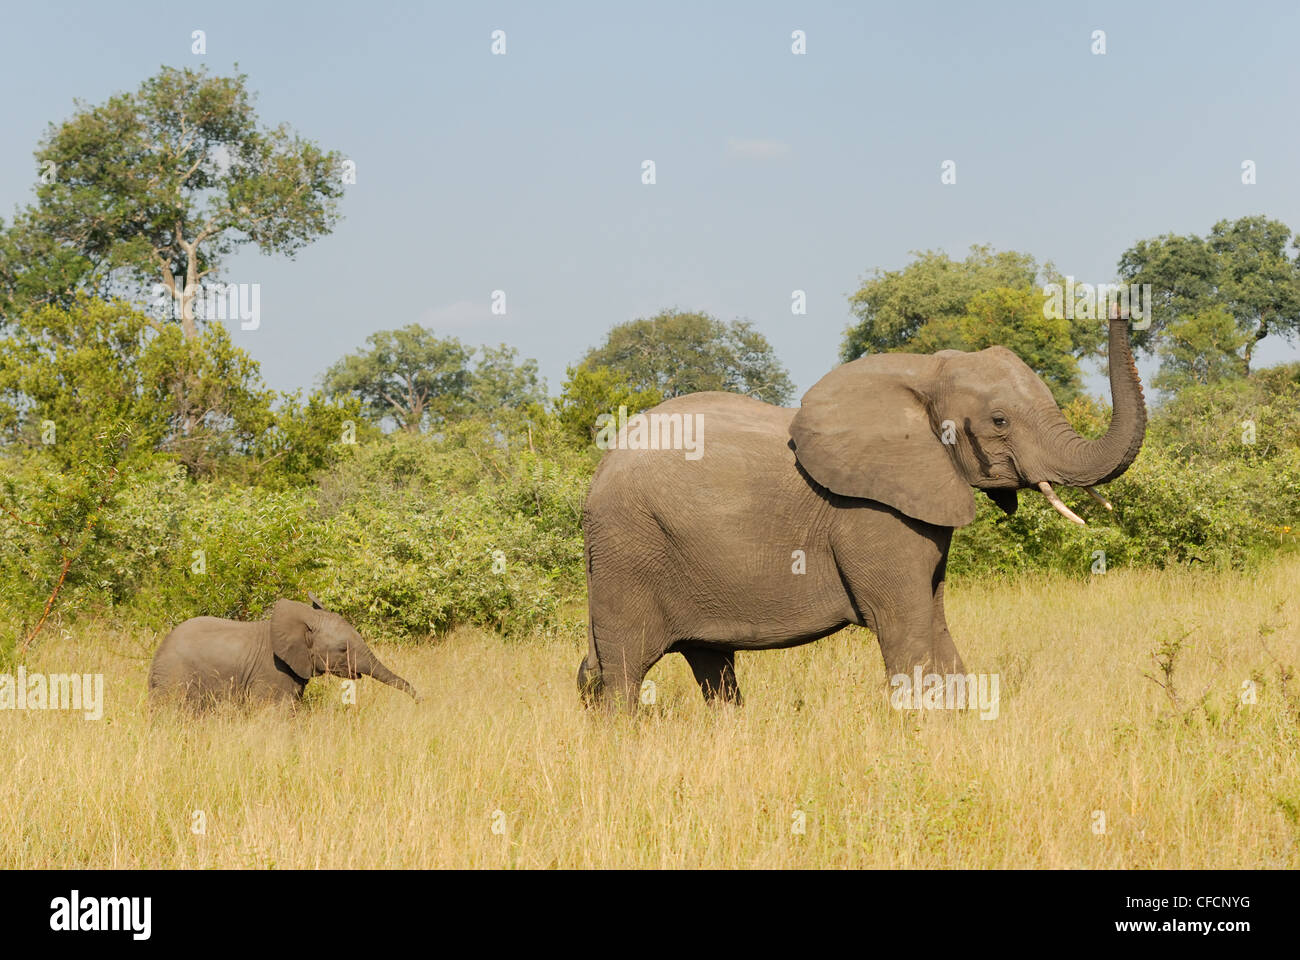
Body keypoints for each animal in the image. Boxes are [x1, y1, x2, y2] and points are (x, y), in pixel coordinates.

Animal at [577, 314, 1146, 710]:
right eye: (1000, 421)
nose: (1121, 302)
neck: (925, 370)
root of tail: (596, 476)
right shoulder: (872, 515)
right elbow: (906, 631)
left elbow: (936, 623)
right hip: (630, 549)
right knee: (625, 669)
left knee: (701, 666)